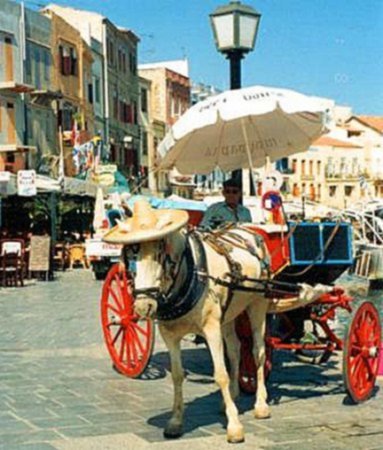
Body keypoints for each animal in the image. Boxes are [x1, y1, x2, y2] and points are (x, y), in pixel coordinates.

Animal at [130, 225, 328, 442]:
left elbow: (220, 375)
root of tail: (249, 230)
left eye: (160, 255)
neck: (192, 272)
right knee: (235, 350)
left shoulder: (211, 329)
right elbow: (177, 375)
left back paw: (261, 404)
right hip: (230, 314)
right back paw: (231, 397)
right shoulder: (170, 335)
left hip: (257, 306)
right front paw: (175, 421)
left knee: (258, 353)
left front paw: (234, 426)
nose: (143, 306)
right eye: (132, 256)